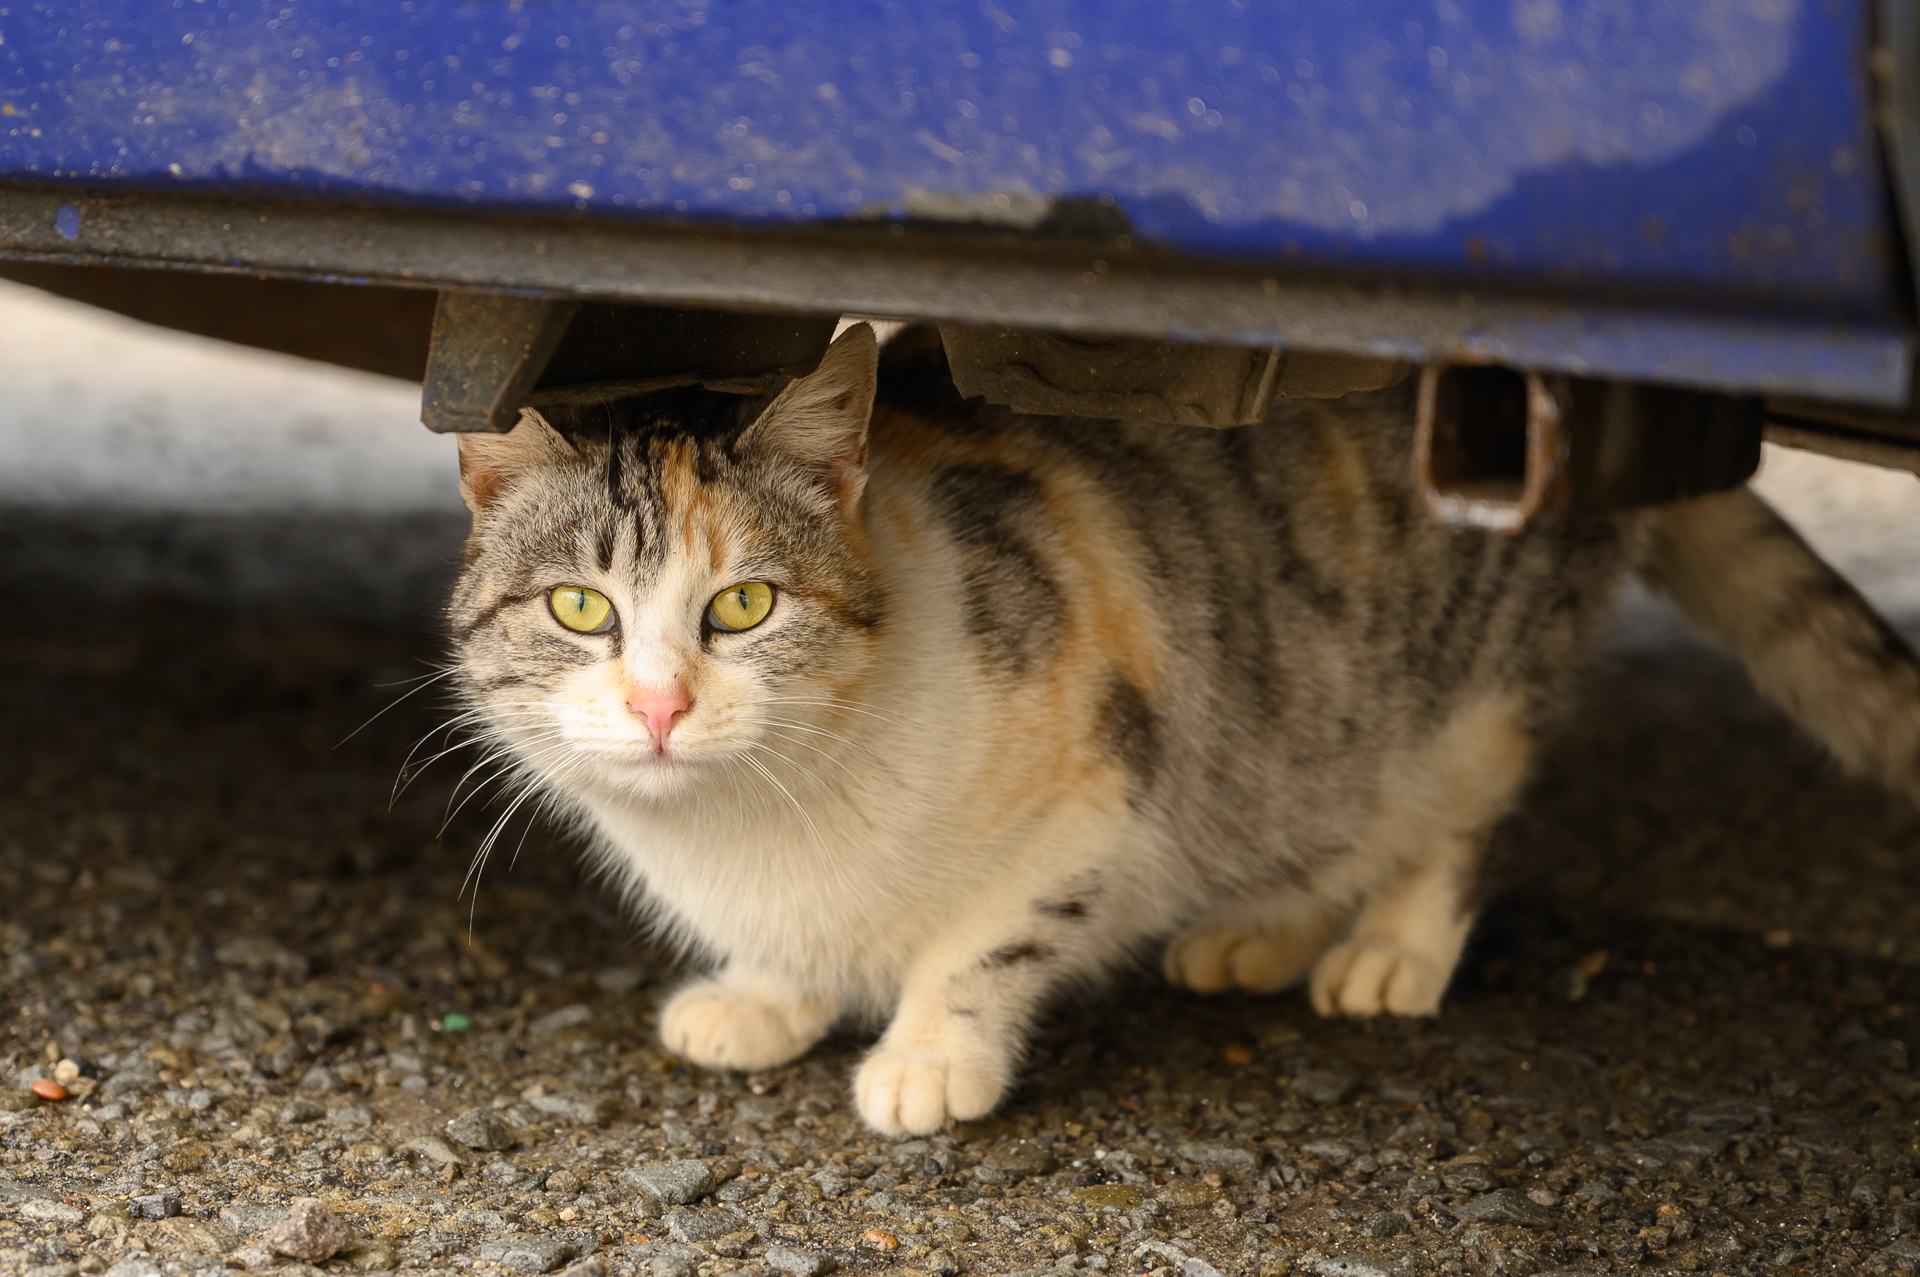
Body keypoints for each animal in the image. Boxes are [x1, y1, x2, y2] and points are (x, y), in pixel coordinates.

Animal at [449, 320, 1920, 1136]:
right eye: (580, 607)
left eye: (744, 604)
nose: (660, 705)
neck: (750, 819)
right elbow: (806, 946)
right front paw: (766, 992)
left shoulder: (1106, 789)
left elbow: (987, 937)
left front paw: (928, 1054)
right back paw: (1267, 928)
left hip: (1473, 685)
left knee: (1457, 813)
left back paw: (1389, 945)